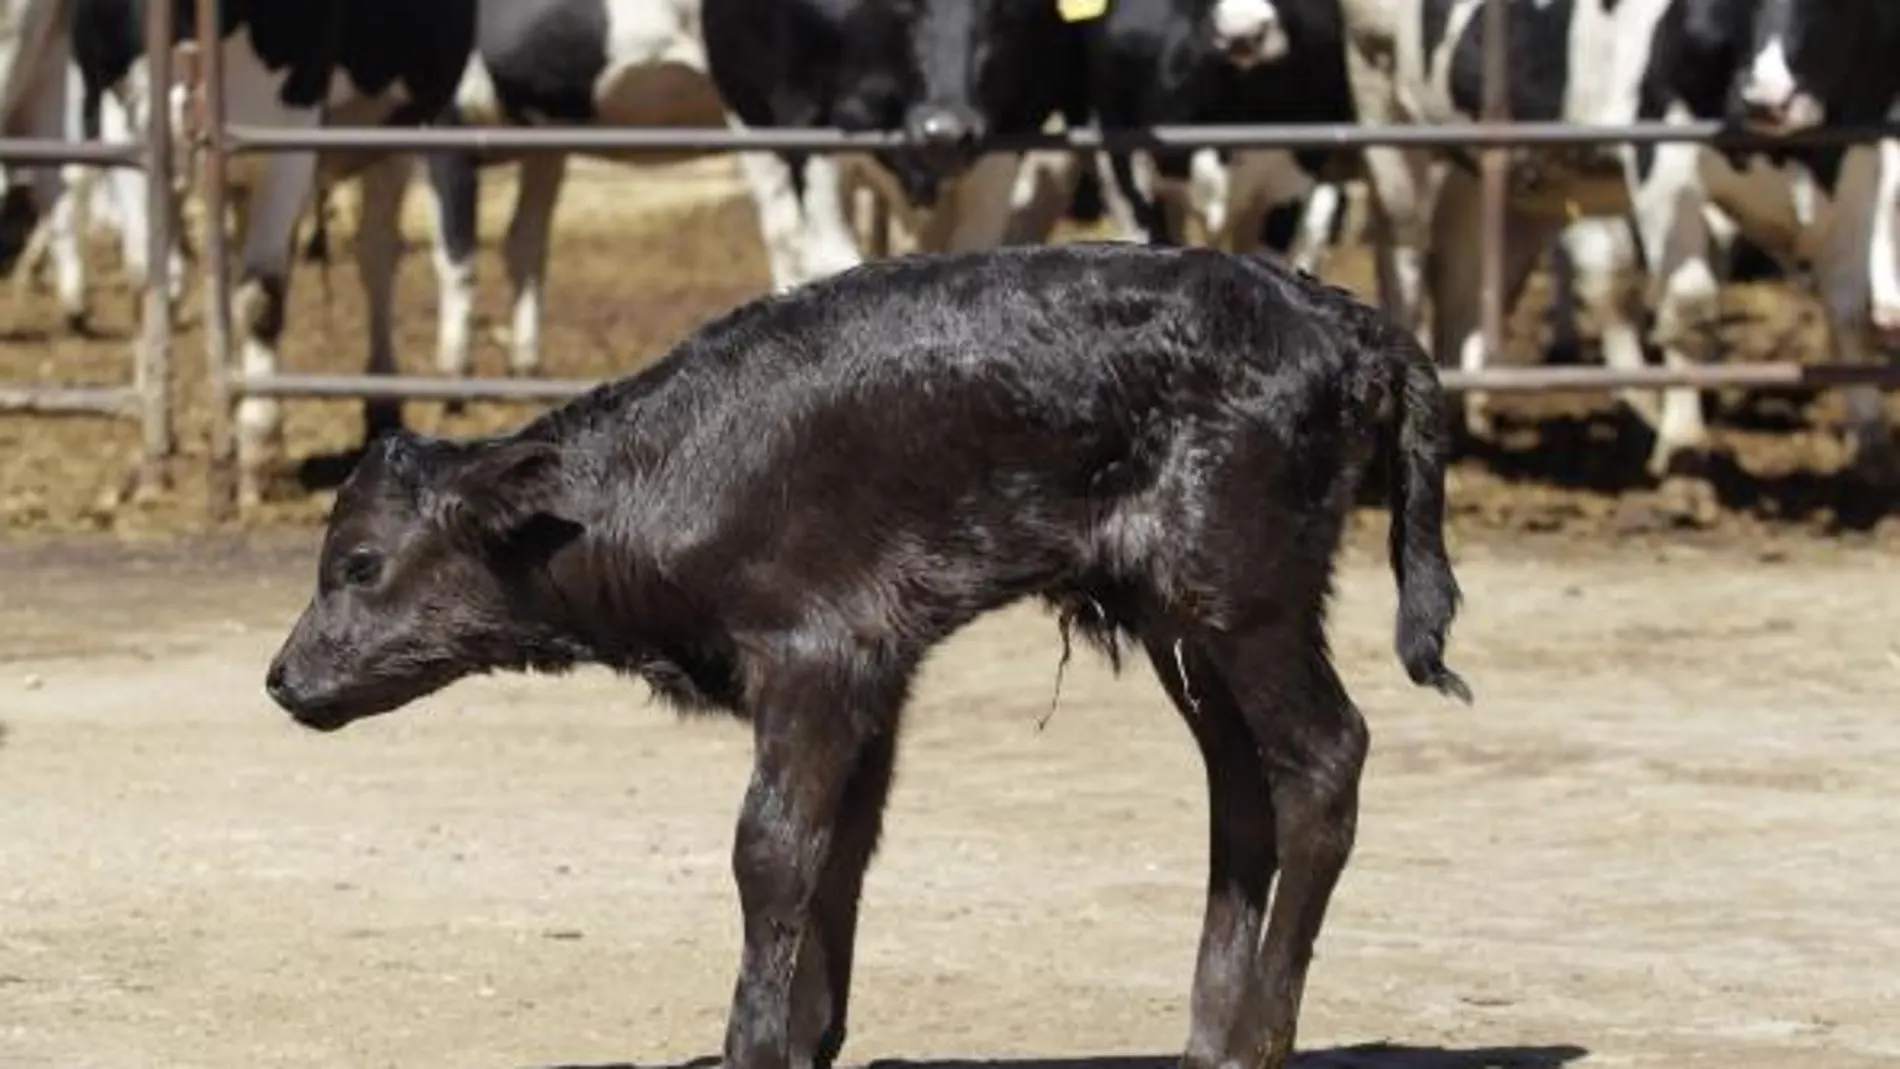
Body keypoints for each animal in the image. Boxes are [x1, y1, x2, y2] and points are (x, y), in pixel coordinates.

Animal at [267, 240, 1474, 1069]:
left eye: (359, 564)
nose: (283, 678)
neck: (671, 477)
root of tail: (1337, 315)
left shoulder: (814, 660)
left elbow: (772, 849)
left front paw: (751, 1042)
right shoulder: (874, 676)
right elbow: (837, 848)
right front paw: (808, 1035)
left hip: (1249, 597)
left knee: (1323, 757)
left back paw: (1259, 1032)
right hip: (1180, 621)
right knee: (1242, 791)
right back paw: (1210, 1037)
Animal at [706, 0, 1102, 288]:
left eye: (1008, 6)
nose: (945, 129)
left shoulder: (1009, 133)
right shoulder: (809, 126)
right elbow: (833, 260)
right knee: (786, 238)